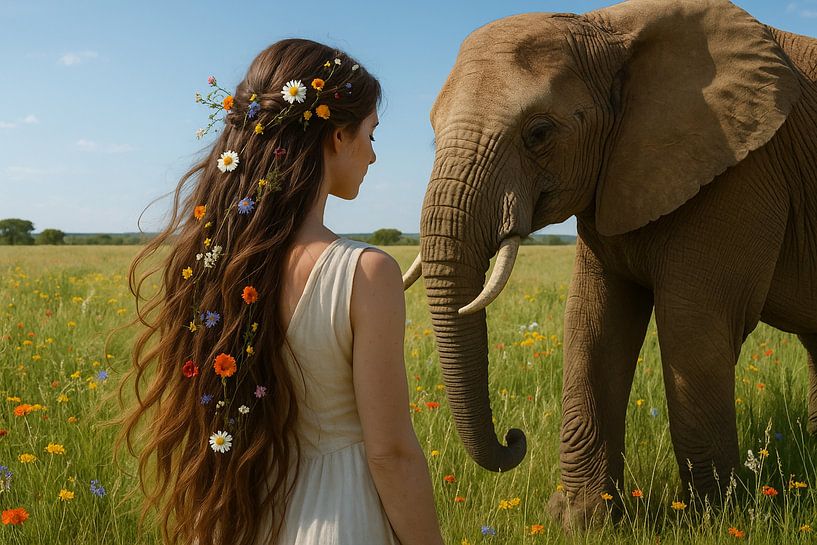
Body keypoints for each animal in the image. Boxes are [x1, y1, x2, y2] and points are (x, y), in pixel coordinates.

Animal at [402, 0, 817, 529]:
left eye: (539, 133)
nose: (515, 438)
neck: (605, 26)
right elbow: (593, 320)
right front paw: (578, 521)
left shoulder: (745, 168)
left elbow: (694, 328)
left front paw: (713, 521)